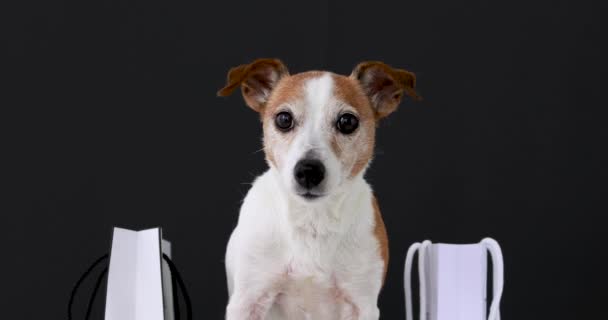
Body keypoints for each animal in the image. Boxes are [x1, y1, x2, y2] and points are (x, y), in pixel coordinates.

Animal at [217, 58, 418, 318]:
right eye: (284, 119)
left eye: (347, 122)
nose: (308, 171)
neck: (313, 219)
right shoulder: (247, 301)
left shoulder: (362, 304)